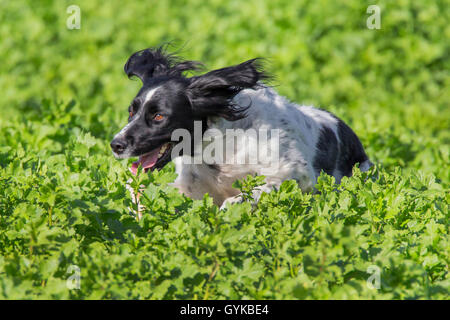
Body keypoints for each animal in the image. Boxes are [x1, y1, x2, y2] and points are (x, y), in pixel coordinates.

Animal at [110, 45, 370, 210]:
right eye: (131, 111)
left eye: (159, 116)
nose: (115, 144)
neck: (220, 149)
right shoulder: (193, 186)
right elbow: (138, 188)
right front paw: (138, 204)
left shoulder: (295, 174)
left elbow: (253, 192)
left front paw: (232, 207)